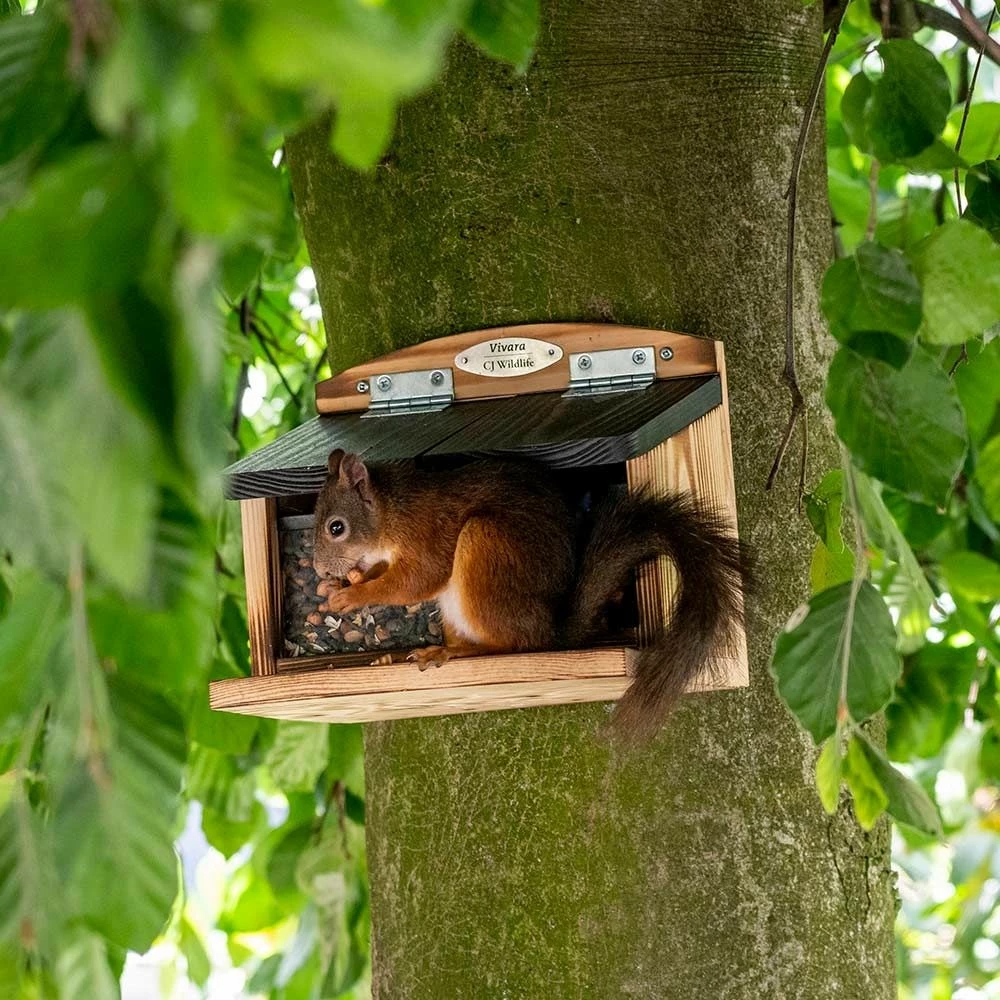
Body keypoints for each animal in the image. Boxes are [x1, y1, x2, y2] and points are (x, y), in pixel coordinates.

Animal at [313, 449, 747, 739]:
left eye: (336, 527)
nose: (317, 569)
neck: (390, 513)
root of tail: (552, 631)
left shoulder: (426, 532)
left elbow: (417, 580)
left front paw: (351, 596)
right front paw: (344, 583)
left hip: (486, 546)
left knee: (513, 645)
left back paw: (453, 653)